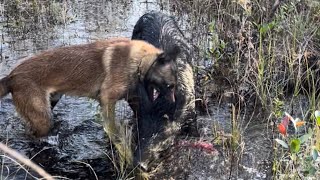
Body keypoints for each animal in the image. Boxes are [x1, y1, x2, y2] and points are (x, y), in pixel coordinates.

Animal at [0, 37, 178, 147]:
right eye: (170, 86)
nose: (174, 104)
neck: (139, 61)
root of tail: (11, 76)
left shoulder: (133, 98)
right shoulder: (107, 99)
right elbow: (112, 127)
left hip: (51, 103)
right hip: (42, 118)